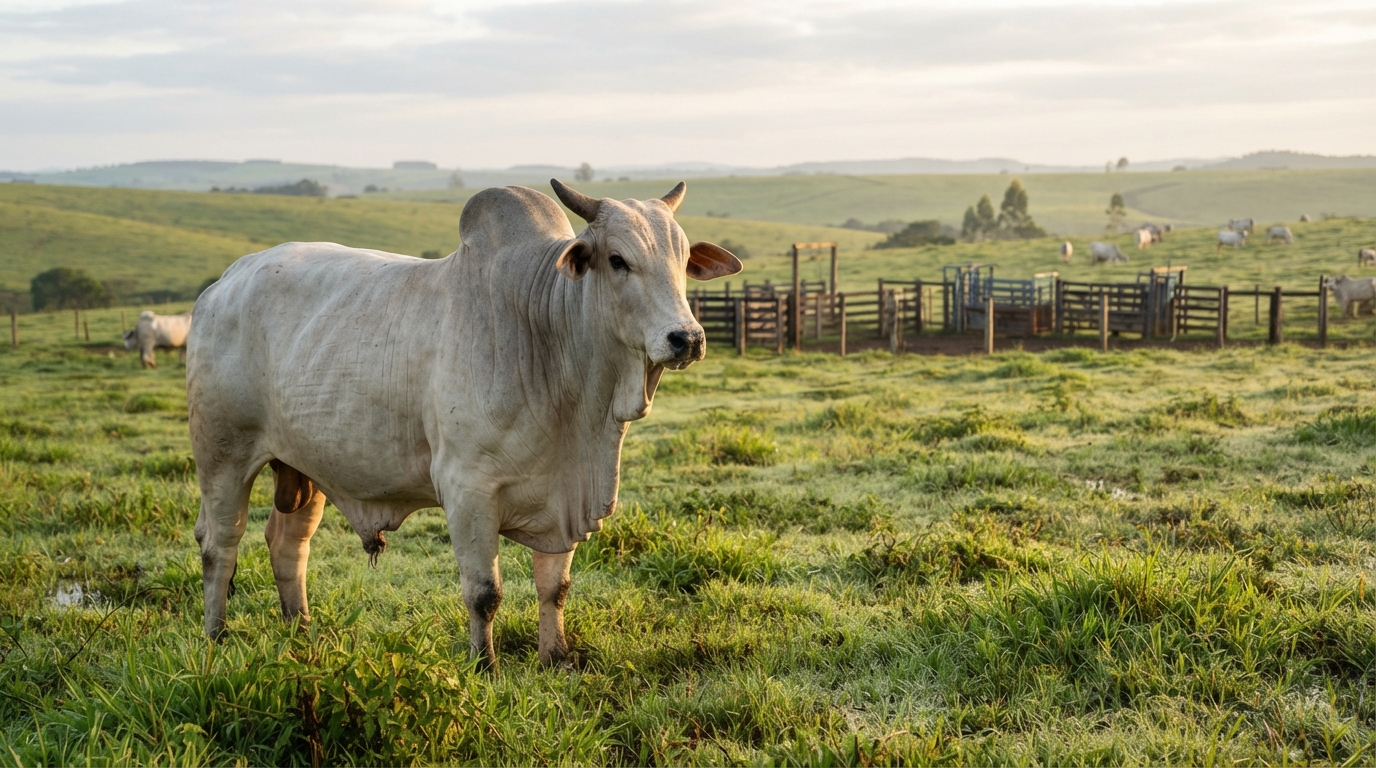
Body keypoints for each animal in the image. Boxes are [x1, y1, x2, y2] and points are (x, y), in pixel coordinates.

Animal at [185, 181, 742, 669]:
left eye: (682, 260)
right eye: (618, 259)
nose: (686, 338)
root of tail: (222, 284)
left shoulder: (564, 495)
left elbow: (554, 588)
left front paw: (556, 659)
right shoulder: (467, 489)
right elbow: (483, 593)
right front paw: (483, 664)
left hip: (306, 465)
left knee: (287, 544)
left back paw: (301, 632)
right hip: (223, 455)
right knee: (220, 545)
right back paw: (216, 637)